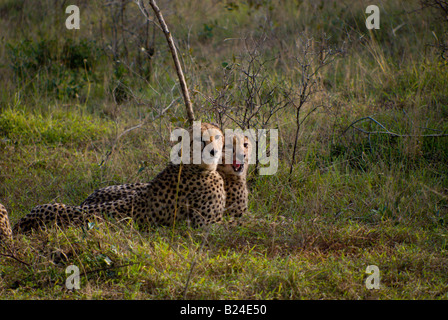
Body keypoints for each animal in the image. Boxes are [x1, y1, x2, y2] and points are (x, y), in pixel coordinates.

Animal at [12, 122, 228, 235]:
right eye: (200, 139)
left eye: (217, 137)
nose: (213, 151)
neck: (191, 165)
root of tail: (21, 223)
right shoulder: (206, 227)